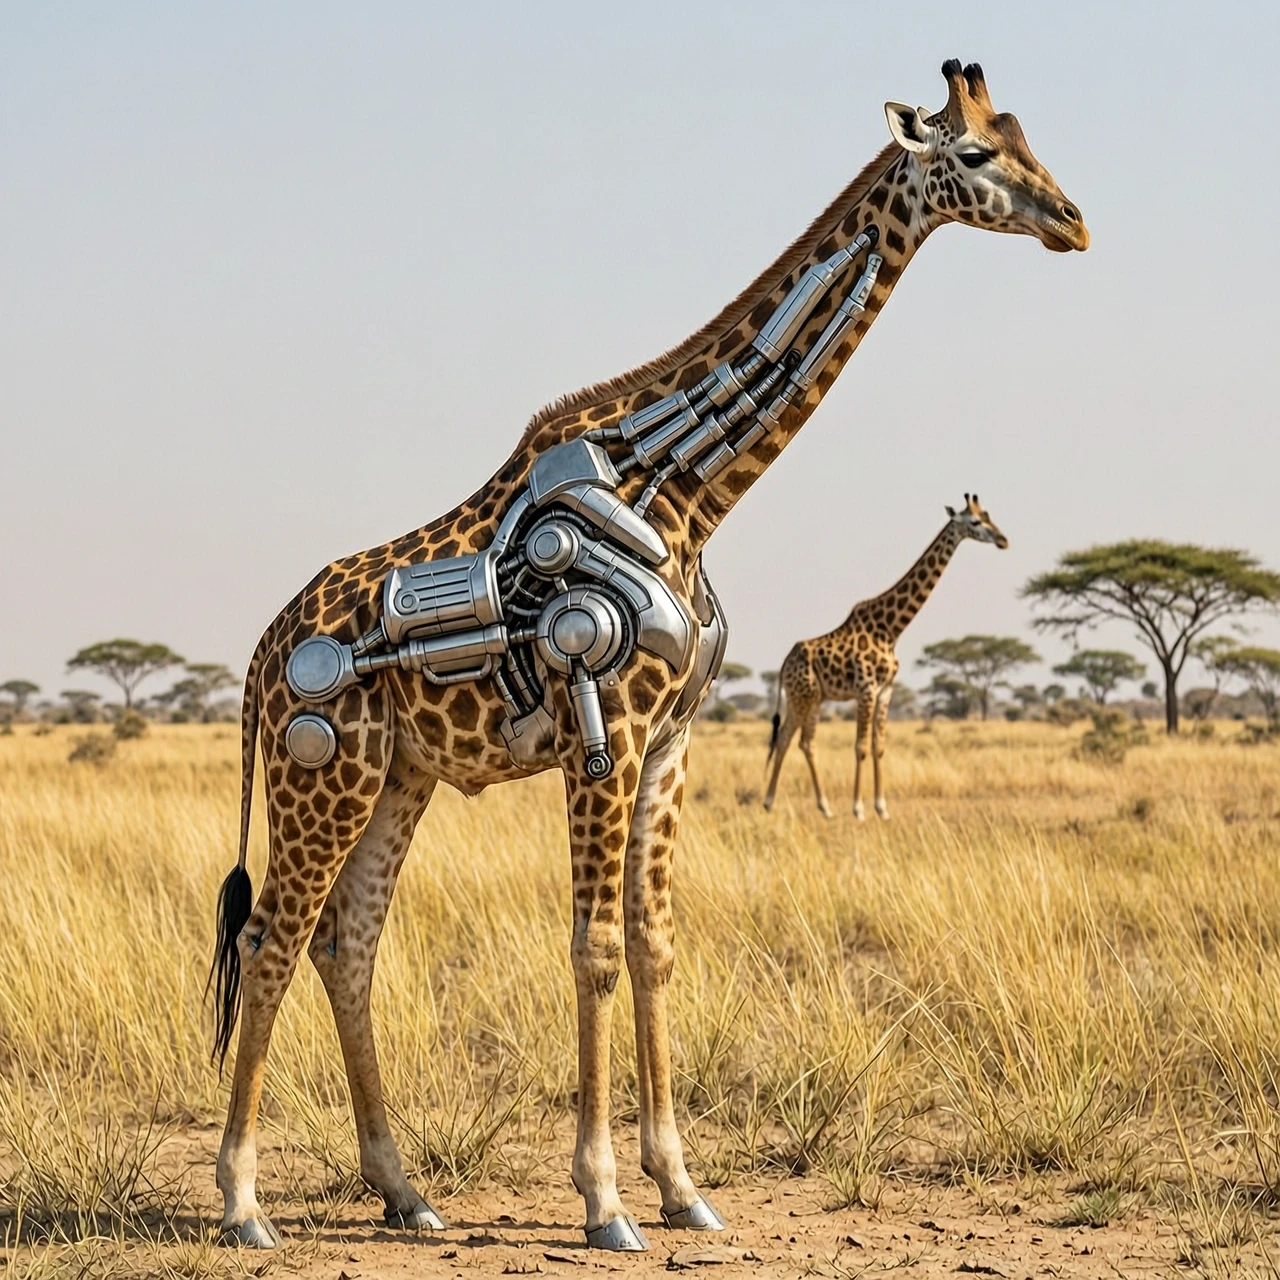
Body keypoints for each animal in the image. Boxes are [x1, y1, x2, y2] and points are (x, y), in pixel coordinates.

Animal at [763, 495, 1009, 819]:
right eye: (975, 522)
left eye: (990, 516)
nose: (1004, 540)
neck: (892, 629)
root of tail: (782, 665)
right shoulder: (866, 689)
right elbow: (860, 746)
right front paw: (858, 809)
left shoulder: (885, 690)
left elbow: (879, 745)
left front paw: (881, 807)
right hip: (803, 696)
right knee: (789, 738)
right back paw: (775, 802)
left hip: (810, 698)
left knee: (800, 741)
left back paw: (817, 806)